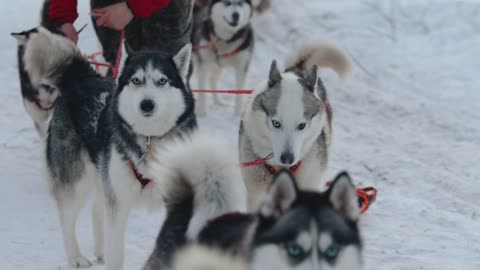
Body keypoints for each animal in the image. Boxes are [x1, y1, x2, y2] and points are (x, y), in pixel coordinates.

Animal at [238, 42, 350, 209]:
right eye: (276, 123)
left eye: (302, 125)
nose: (287, 158)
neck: (281, 169)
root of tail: (299, 69)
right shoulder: (255, 194)